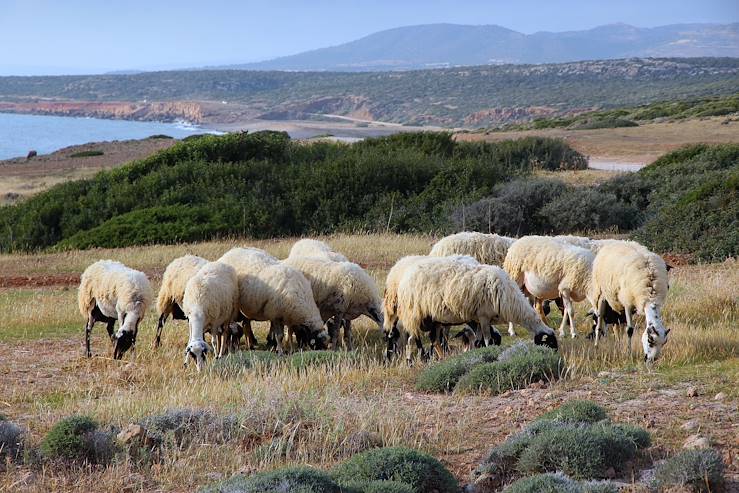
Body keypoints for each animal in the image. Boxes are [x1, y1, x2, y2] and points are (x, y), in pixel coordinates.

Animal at [396, 258, 556, 362]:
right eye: (550, 343)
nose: (554, 357)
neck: (511, 300)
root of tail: (407, 277)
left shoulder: (478, 319)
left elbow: (478, 341)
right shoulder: (484, 316)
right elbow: (487, 340)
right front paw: (489, 354)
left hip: (433, 319)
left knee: (433, 340)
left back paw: (441, 358)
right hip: (417, 314)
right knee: (412, 338)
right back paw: (411, 360)